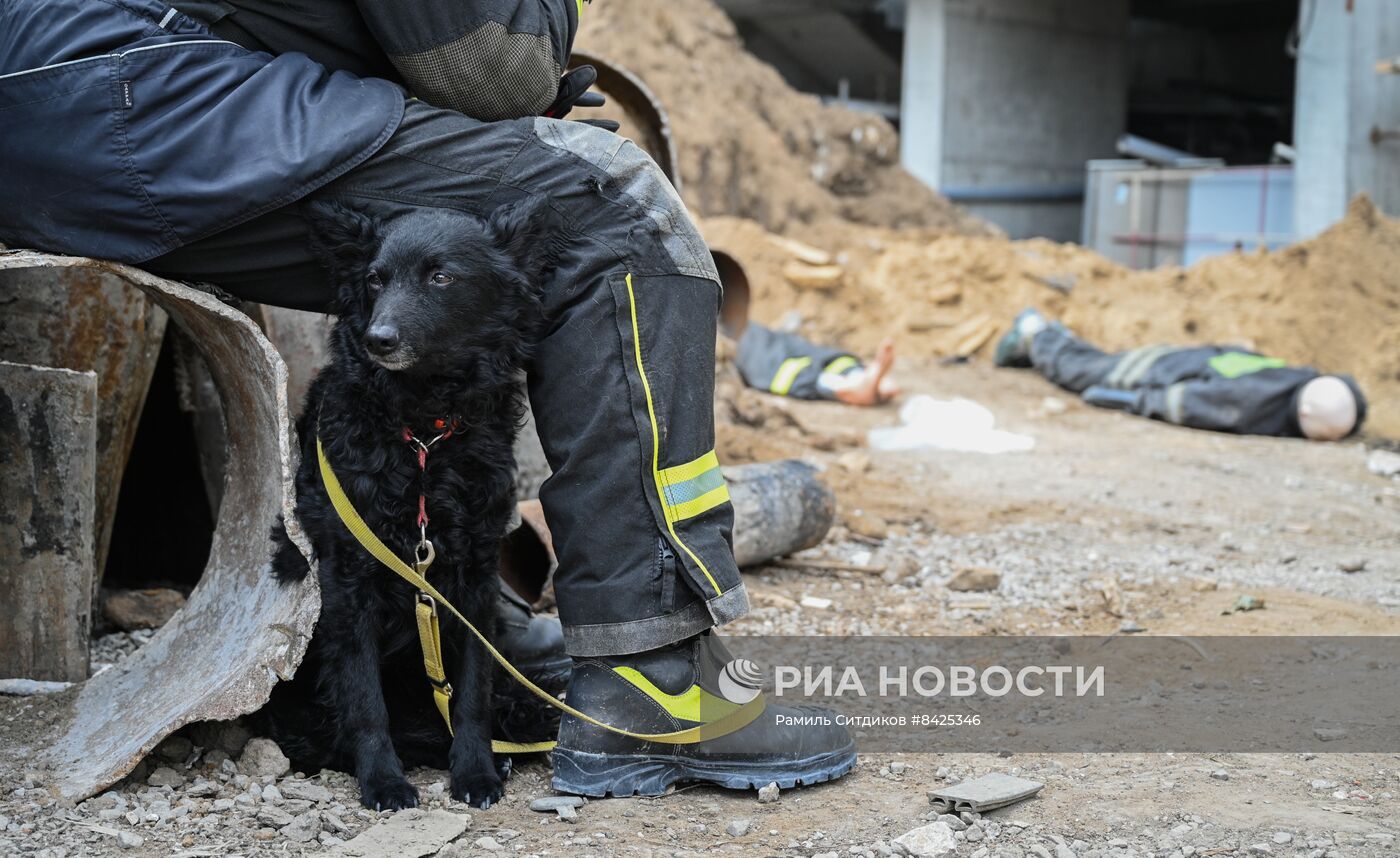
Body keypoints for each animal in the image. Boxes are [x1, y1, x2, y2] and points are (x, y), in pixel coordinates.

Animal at [260, 198, 560, 811]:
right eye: (375, 279)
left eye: (440, 277)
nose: (379, 338)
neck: (423, 437)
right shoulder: (349, 581)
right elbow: (364, 699)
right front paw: (383, 780)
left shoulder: (474, 576)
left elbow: (471, 692)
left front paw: (476, 770)